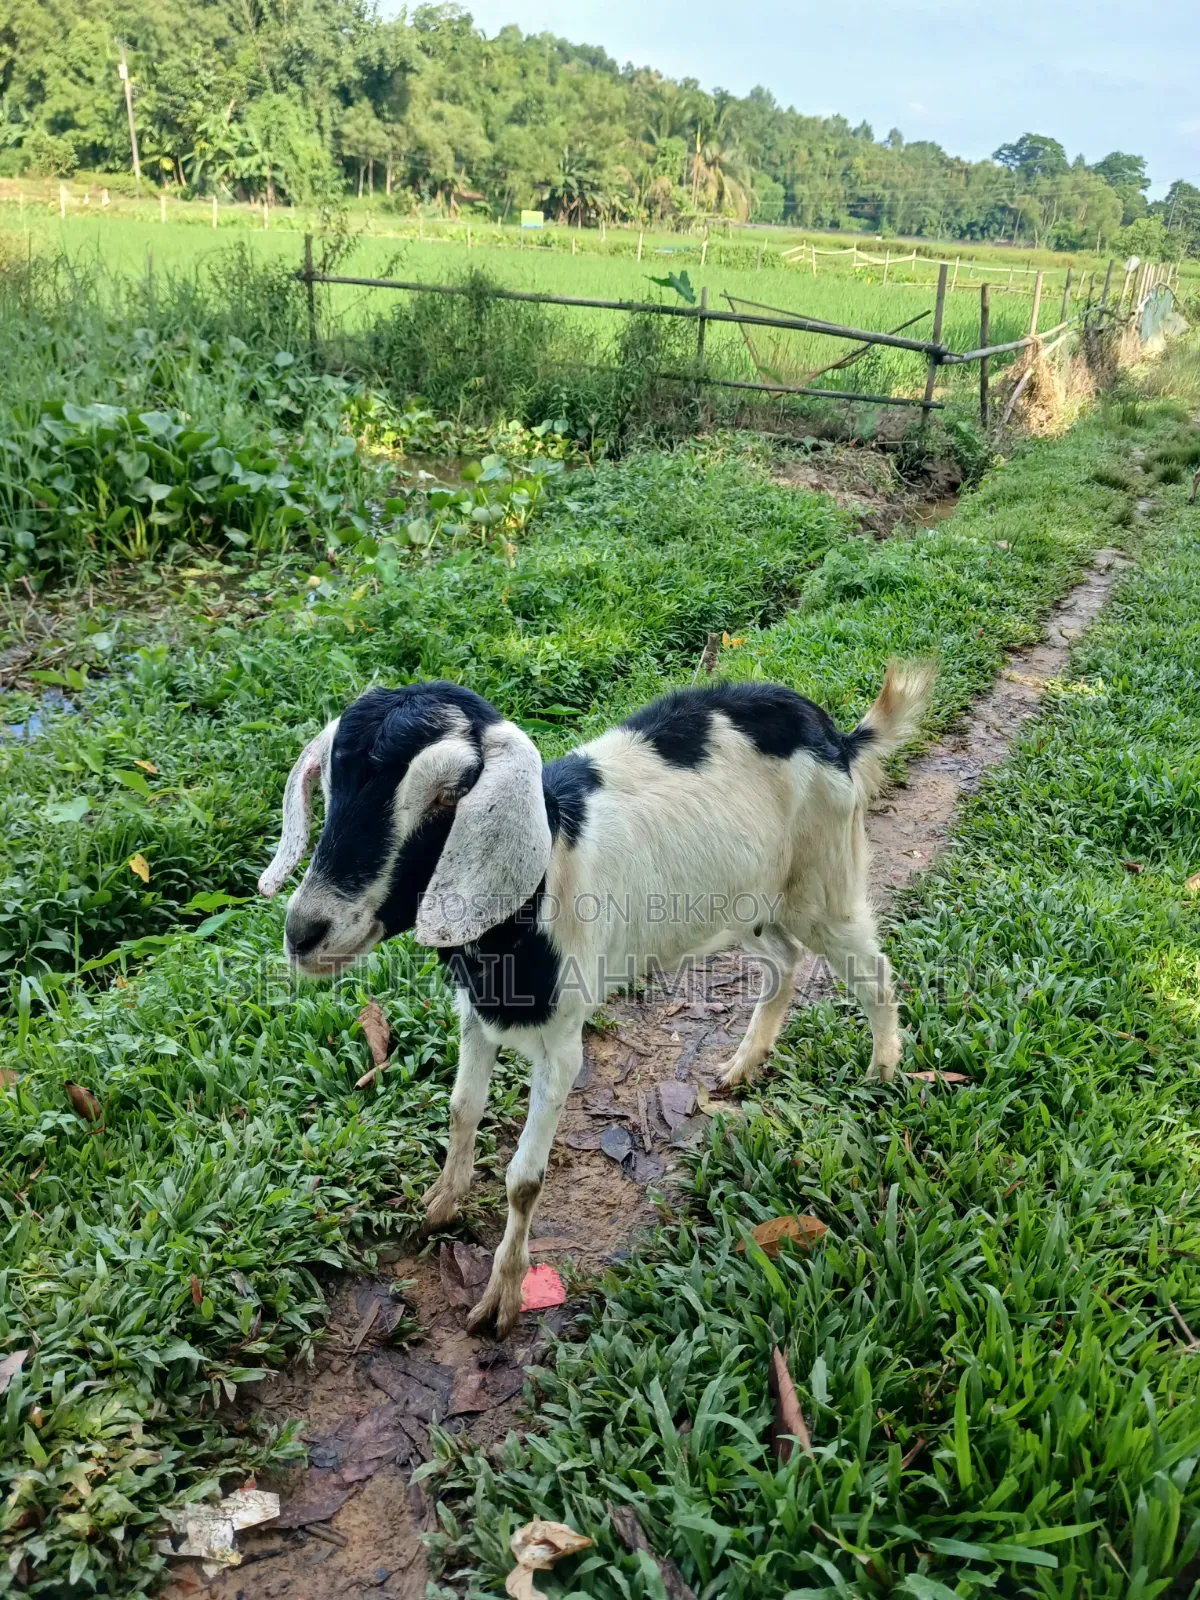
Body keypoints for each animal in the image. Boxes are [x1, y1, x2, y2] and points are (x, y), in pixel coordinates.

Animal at [258, 661, 934, 1337]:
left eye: (448, 796)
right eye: (331, 789)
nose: (304, 932)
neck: (540, 882)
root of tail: (836, 735)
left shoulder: (562, 1045)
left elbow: (524, 1181)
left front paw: (501, 1299)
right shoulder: (476, 1015)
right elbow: (461, 1110)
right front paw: (441, 1203)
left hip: (824, 882)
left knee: (873, 973)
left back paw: (881, 1071)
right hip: (747, 900)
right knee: (785, 962)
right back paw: (745, 1064)